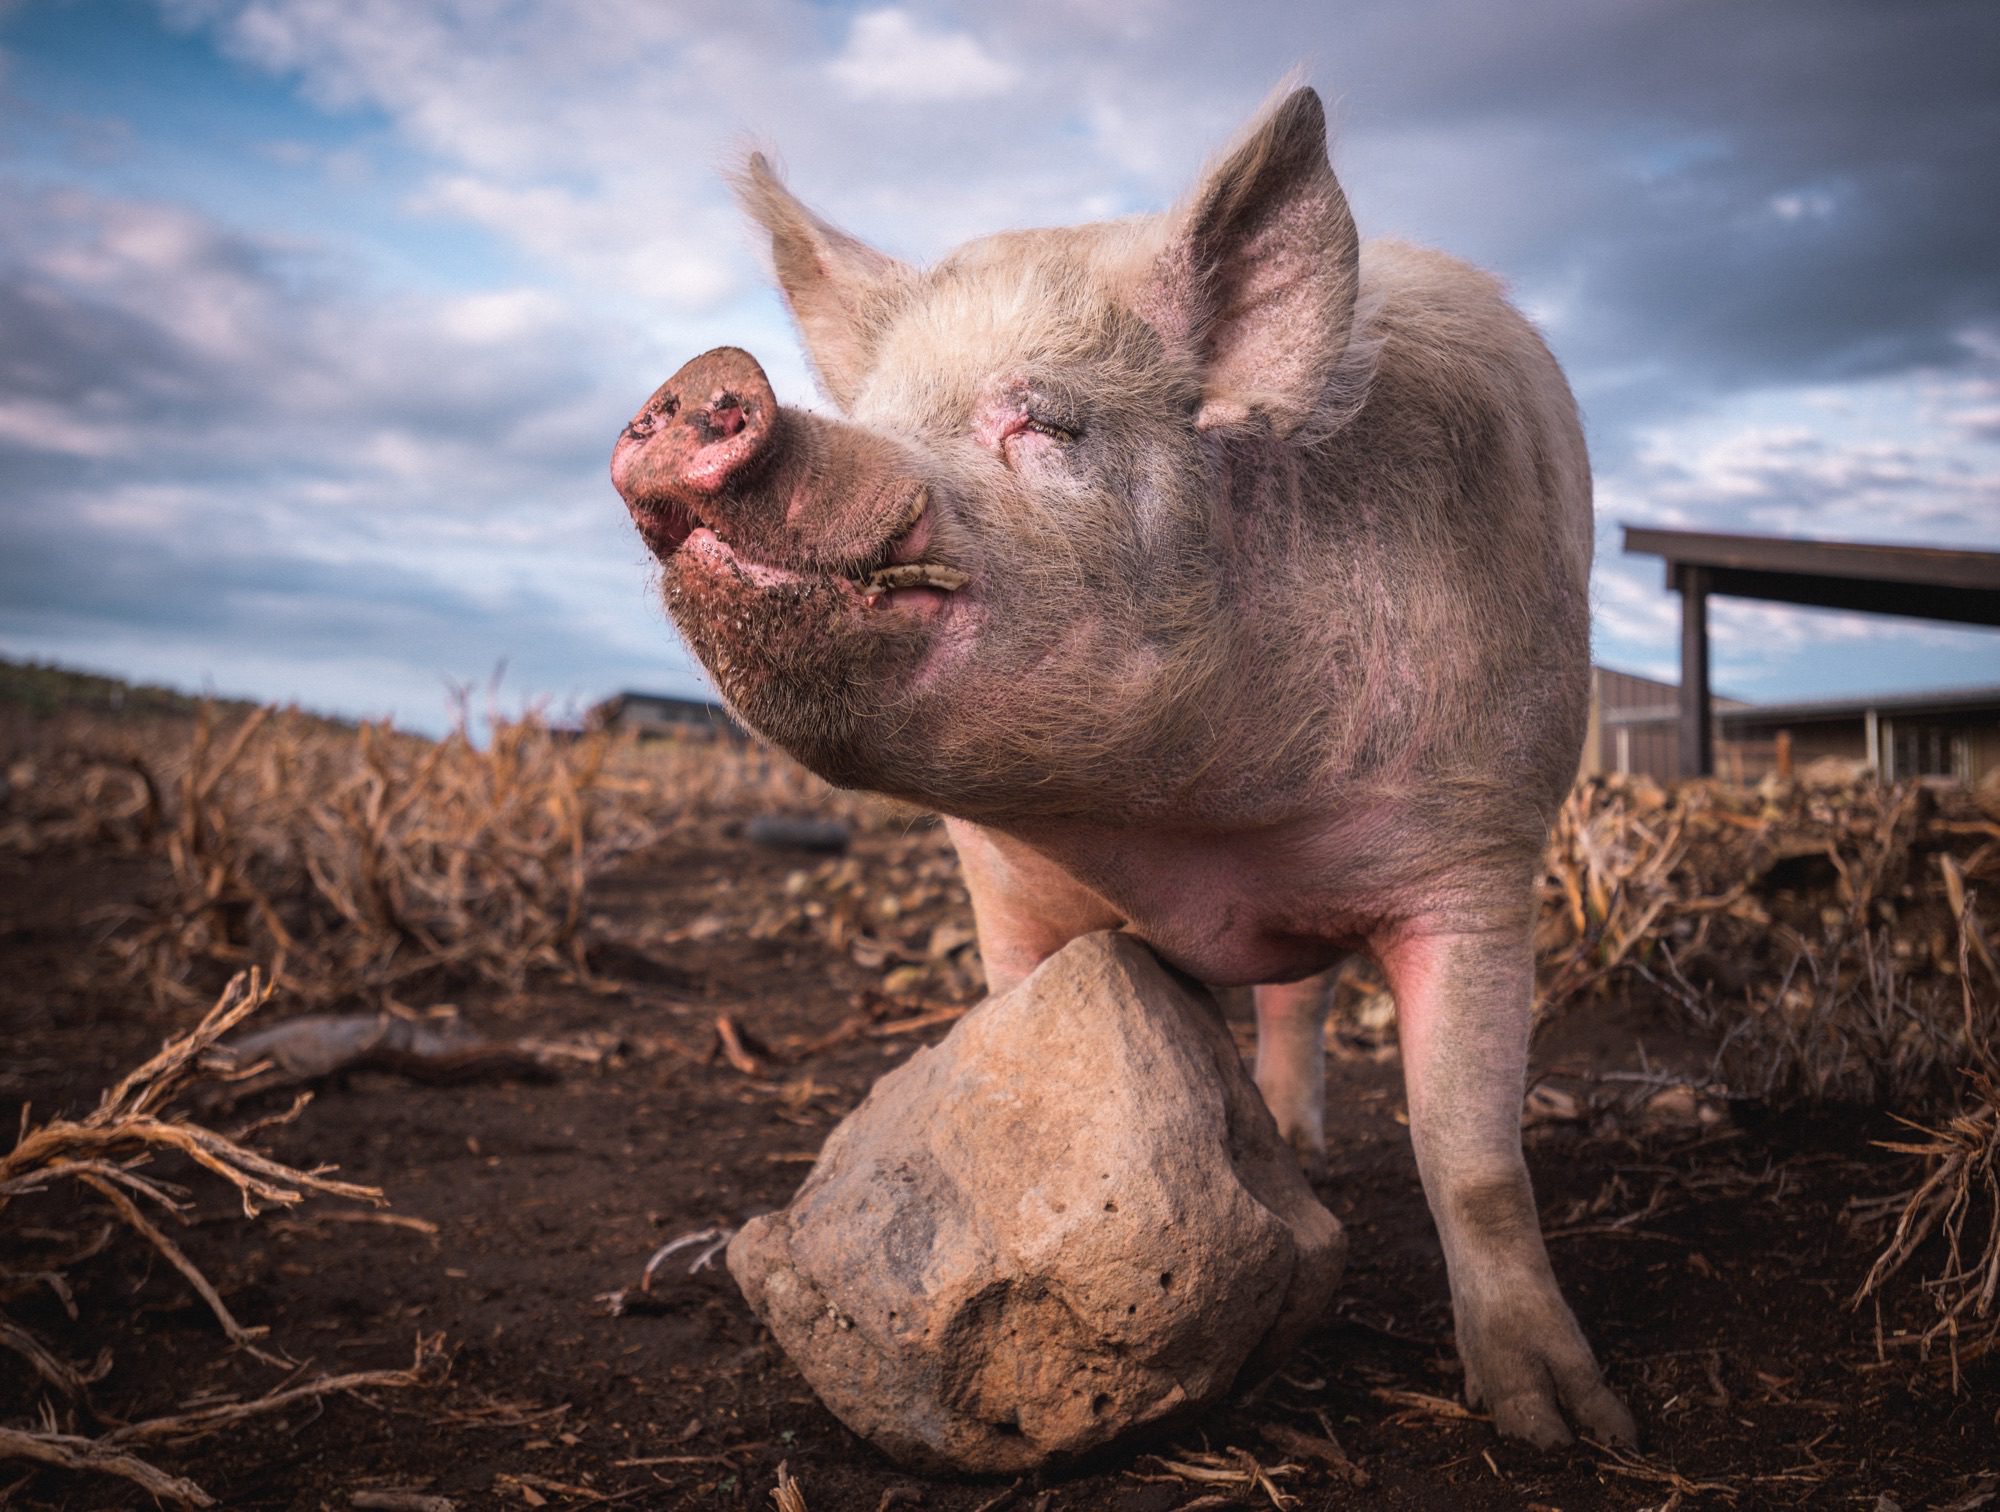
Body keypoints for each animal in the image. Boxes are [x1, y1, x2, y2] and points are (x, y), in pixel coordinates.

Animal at [612, 85, 1640, 1456]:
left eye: (1045, 420)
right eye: (877, 408)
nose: (708, 375)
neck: (1194, 830)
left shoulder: (1482, 848)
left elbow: (1468, 1152)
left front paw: (1566, 1429)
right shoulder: (1002, 889)